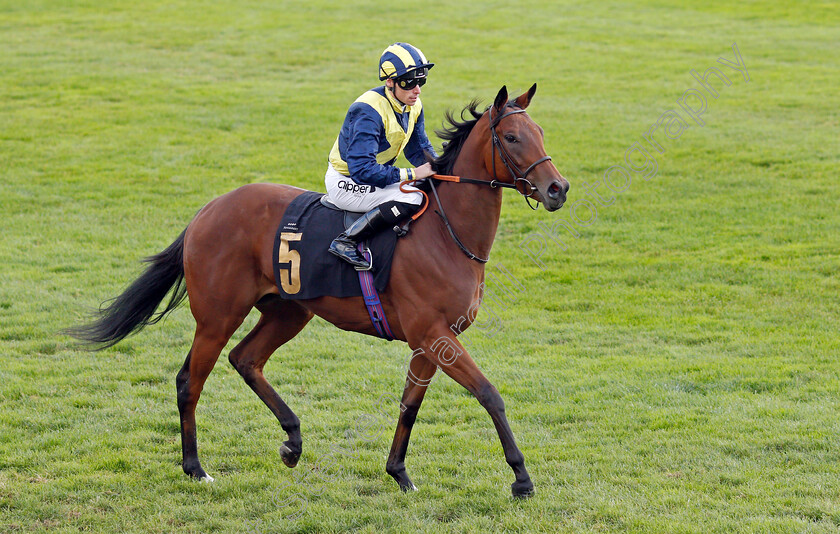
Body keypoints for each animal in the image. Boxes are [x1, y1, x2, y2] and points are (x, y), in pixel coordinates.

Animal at [69, 86, 572, 500]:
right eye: (512, 138)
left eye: (540, 132)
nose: (557, 189)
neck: (447, 233)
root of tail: (208, 210)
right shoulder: (433, 333)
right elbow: (489, 394)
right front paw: (521, 479)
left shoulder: (433, 340)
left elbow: (410, 405)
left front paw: (399, 473)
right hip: (217, 316)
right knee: (190, 380)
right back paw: (195, 468)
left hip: (288, 312)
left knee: (246, 359)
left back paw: (292, 441)